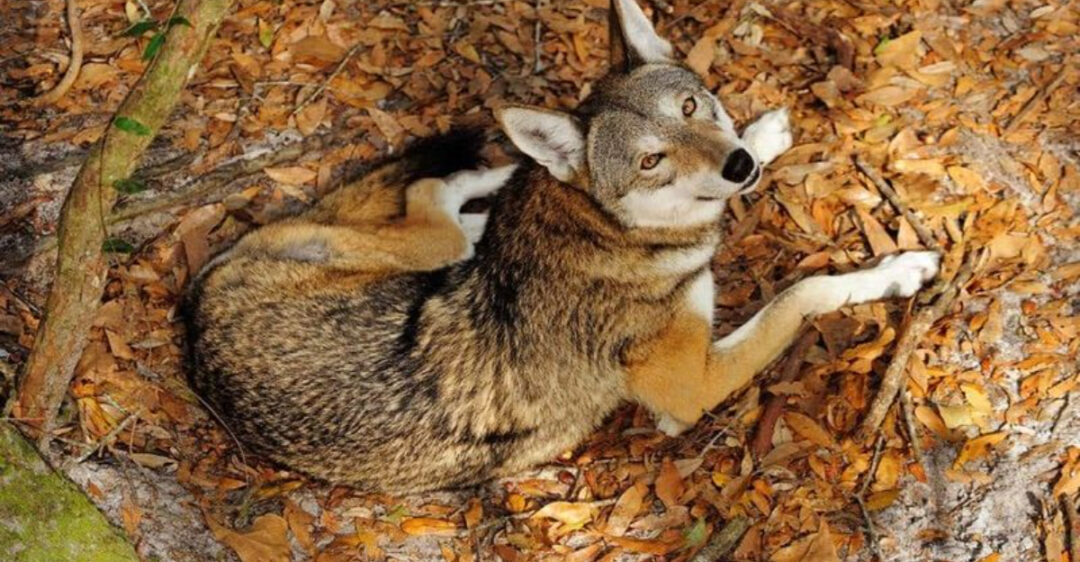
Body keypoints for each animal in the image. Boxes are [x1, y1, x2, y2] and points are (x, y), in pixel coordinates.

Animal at [182, 0, 939, 493]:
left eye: (690, 108)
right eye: (650, 162)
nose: (735, 166)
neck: (613, 232)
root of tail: (194, 314)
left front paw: (764, 136)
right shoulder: (690, 391)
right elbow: (801, 294)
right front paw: (898, 270)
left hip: (430, 255)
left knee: (446, 194)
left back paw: (507, 181)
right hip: (427, 250)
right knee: (432, 190)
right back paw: (499, 179)